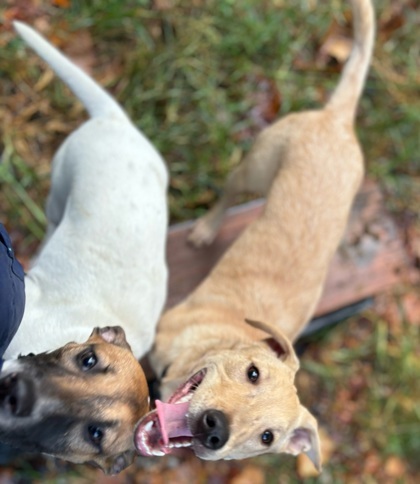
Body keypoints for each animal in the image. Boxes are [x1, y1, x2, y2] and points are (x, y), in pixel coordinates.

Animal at [136, 0, 376, 470]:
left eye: (267, 437)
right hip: (256, 167)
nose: (214, 428)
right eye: (252, 372)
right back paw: (206, 227)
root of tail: (338, 120)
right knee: (229, 194)